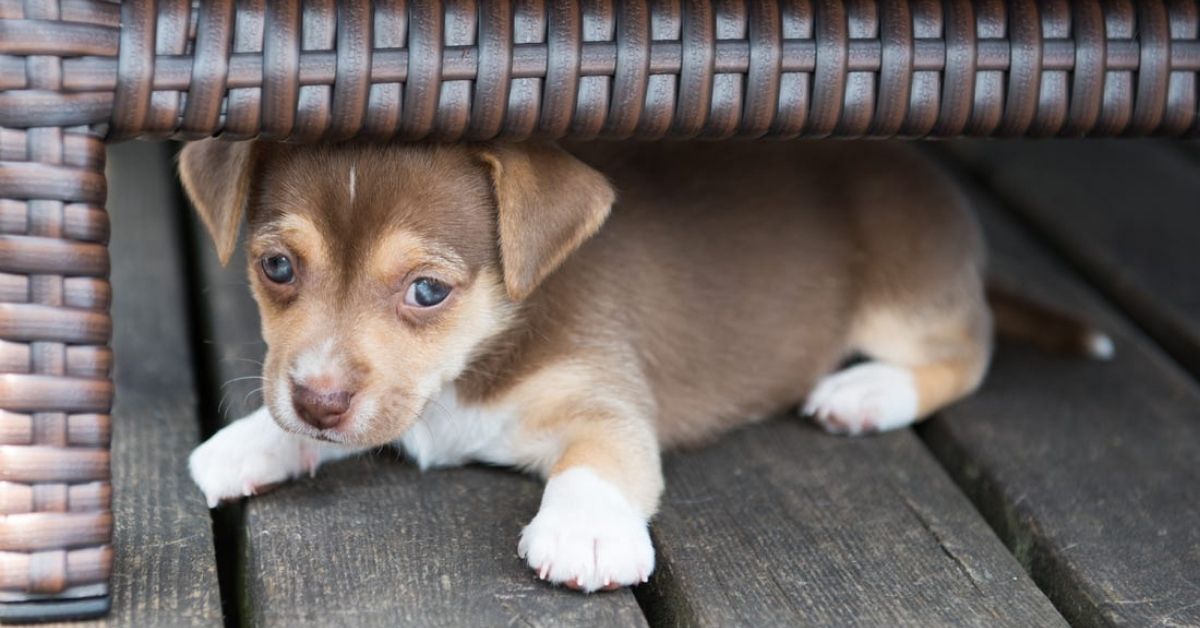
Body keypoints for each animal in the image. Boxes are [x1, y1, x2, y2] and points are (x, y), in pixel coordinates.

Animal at [180, 138, 1003, 595]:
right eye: (277, 268)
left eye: (428, 291)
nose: (317, 403)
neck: (476, 357)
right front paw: (253, 440)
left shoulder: (606, 398)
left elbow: (599, 457)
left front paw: (587, 530)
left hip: (905, 296)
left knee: (970, 353)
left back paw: (870, 389)